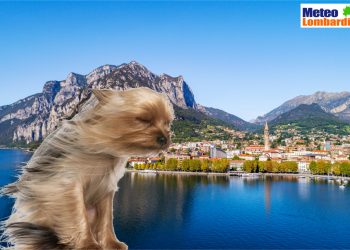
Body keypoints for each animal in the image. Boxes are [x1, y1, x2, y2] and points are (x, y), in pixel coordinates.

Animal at [0, 87, 174, 249]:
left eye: (167, 123)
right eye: (143, 119)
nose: (164, 139)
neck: (103, 150)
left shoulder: (106, 189)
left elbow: (106, 220)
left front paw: (111, 243)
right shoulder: (67, 186)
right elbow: (78, 216)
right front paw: (87, 245)